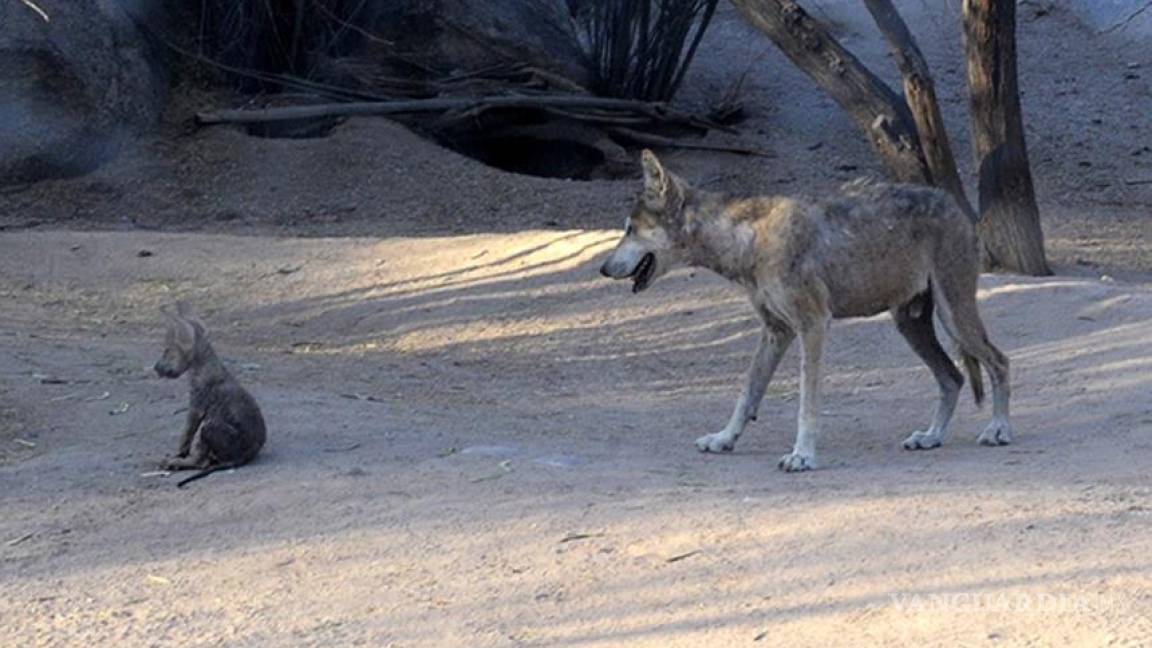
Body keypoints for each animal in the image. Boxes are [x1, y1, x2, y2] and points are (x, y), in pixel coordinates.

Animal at [154, 302, 266, 484]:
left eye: (167, 350)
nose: (155, 368)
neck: (202, 366)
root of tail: (243, 456)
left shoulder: (196, 408)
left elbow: (185, 436)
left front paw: (178, 455)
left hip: (209, 425)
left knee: (201, 462)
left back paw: (173, 463)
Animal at [599, 151, 1013, 468]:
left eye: (629, 229)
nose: (602, 268)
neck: (747, 240)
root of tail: (954, 203)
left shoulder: (813, 326)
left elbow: (806, 401)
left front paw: (802, 456)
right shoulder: (775, 331)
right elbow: (747, 392)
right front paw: (724, 438)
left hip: (953, 316)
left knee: (999, 361)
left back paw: (998, 430)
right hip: (911, 325)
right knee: (952, 378)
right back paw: (930, 436)